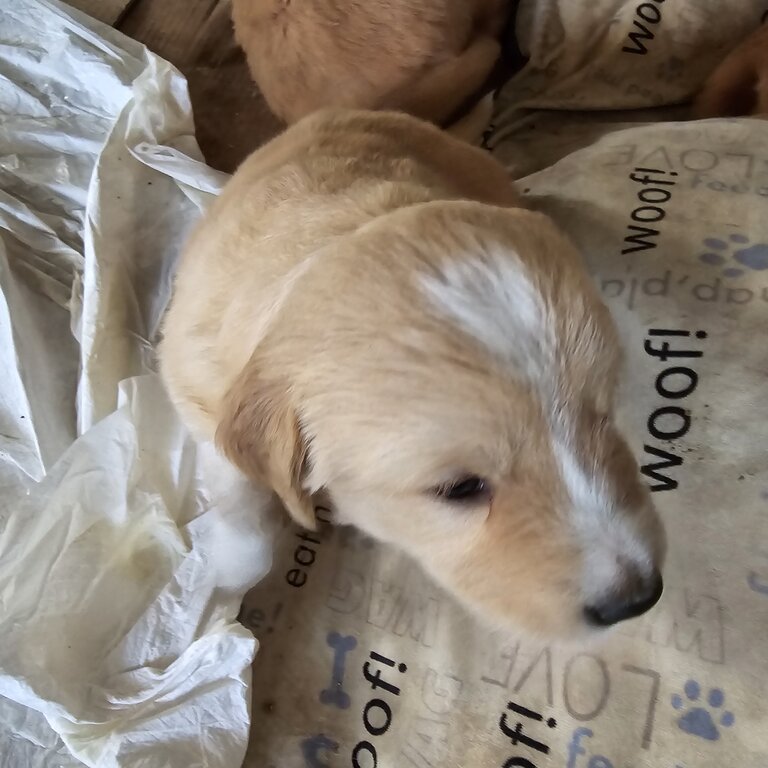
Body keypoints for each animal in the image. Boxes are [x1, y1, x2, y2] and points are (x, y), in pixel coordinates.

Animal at [162, 106, 664, 636]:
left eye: (603, 417)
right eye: (460, 489)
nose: (637, 599)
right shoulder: (195, 390)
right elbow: (237, 496)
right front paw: (228, 570)